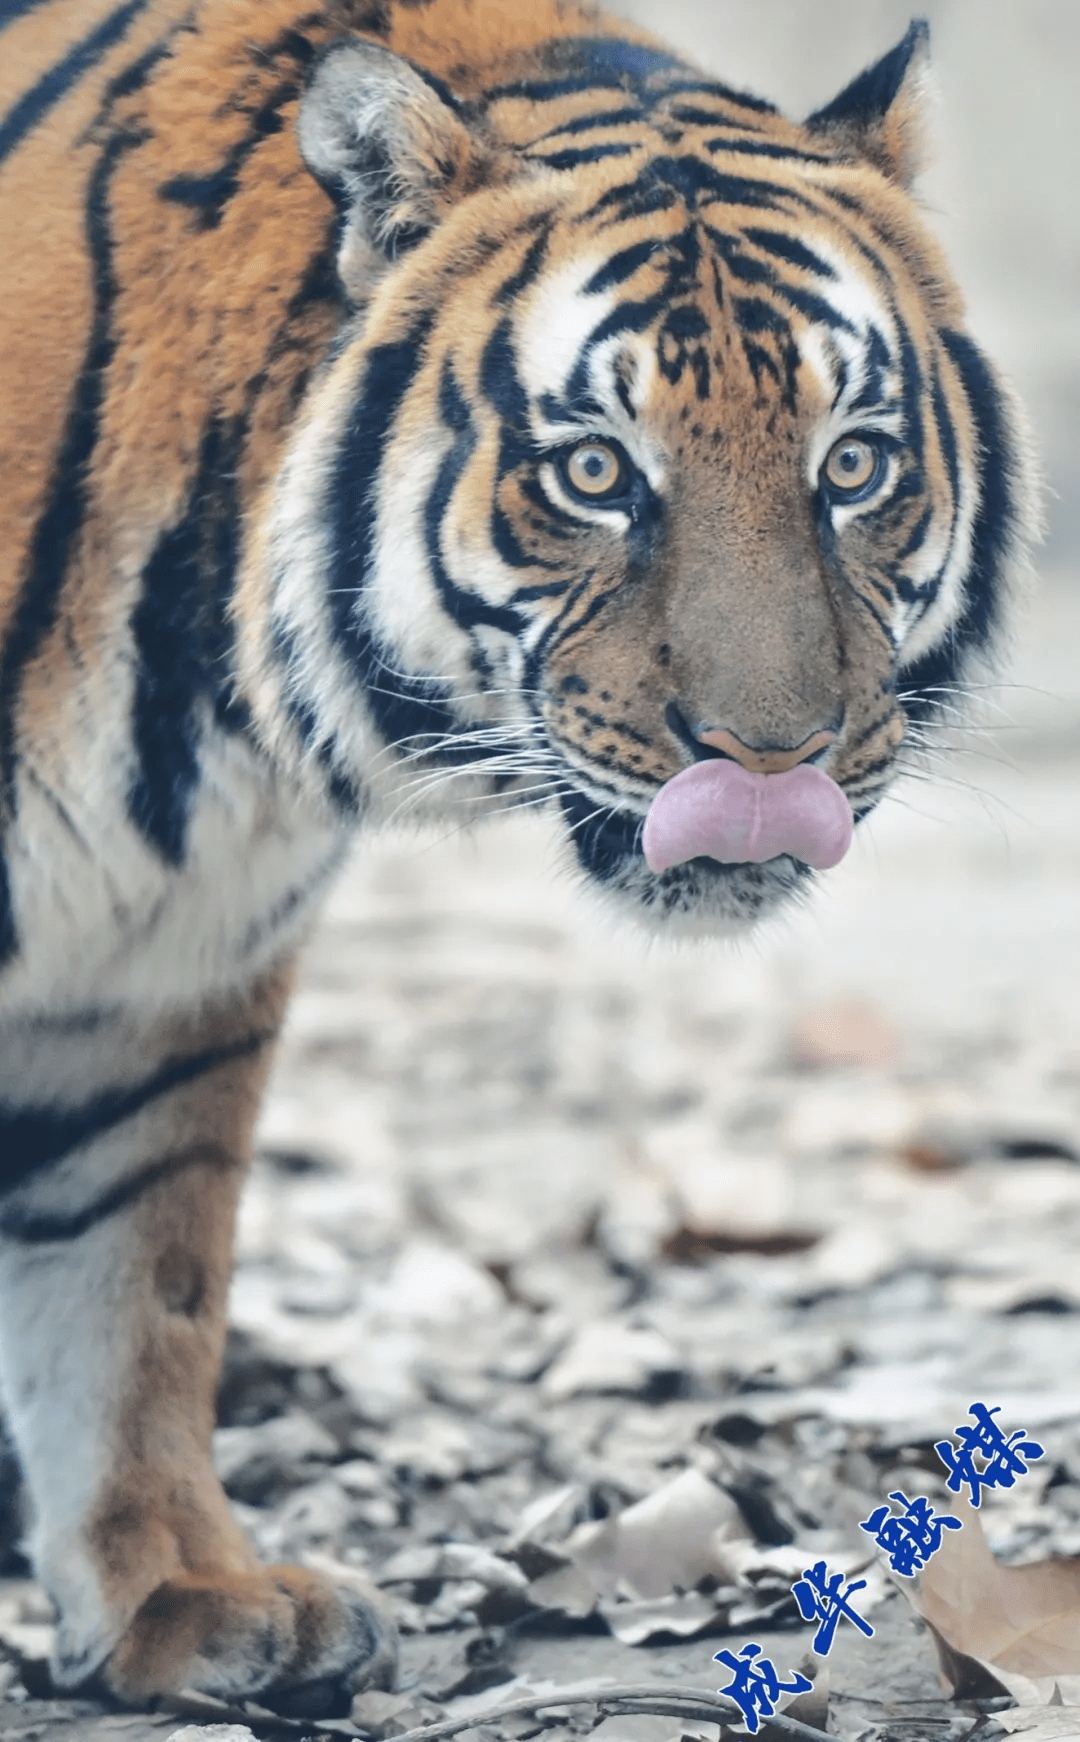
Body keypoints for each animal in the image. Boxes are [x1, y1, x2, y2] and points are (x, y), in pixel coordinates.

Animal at [0, 0, 1038, 1721]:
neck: (223, 714)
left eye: (852, 465)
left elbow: (135, 1282)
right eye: (595, 473)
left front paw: (182, 1590)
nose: (769, 762)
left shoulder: (163, 968)